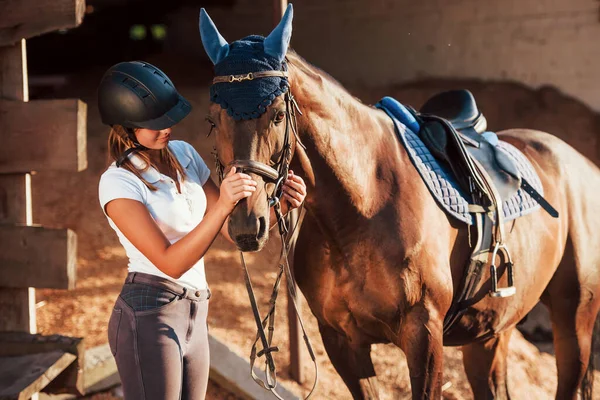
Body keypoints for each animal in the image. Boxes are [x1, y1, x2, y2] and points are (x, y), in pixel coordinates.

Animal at [200, 4, 600, 398]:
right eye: (214, 119)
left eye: (278, 115)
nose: (246, 224)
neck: (361, 207)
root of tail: (586, 166)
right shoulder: (341, 340)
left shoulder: (424, 336)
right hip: (490, 332)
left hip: (574, 321)